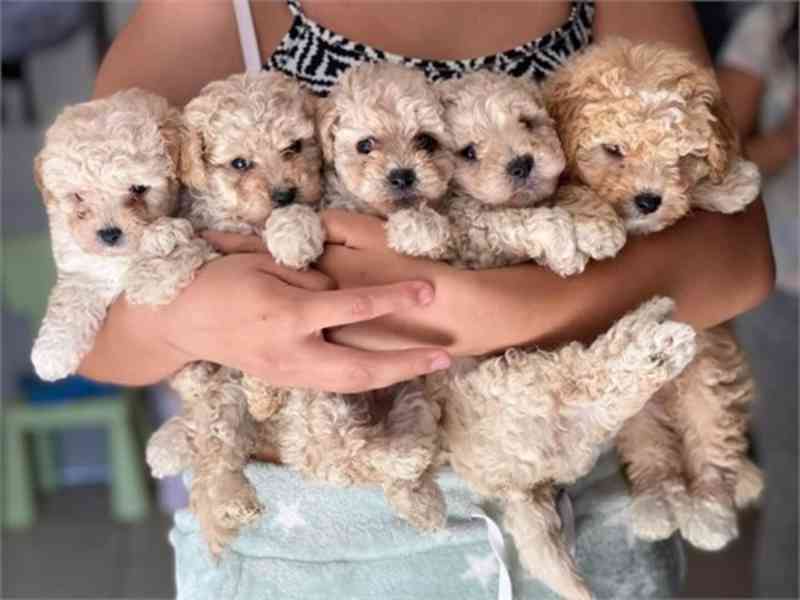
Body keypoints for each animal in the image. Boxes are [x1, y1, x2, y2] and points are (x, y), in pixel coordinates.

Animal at [32, 89, 211, 380]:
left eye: (138, 188)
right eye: (78, 196)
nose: (109, 235)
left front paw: (162, 235)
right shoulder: (84, 271)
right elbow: (69, 302)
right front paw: (51, 355)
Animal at [548, 37, 764, 552]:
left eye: (681, 156)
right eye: (613, 150)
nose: (648, 200)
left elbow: (693, 197)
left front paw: (732, 182)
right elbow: (570, 195)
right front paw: (596, 224)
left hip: (709, 370)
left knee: (714, 437)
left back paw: (712, 509)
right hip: (634, 409)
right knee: (651, 454)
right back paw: (657, 505)